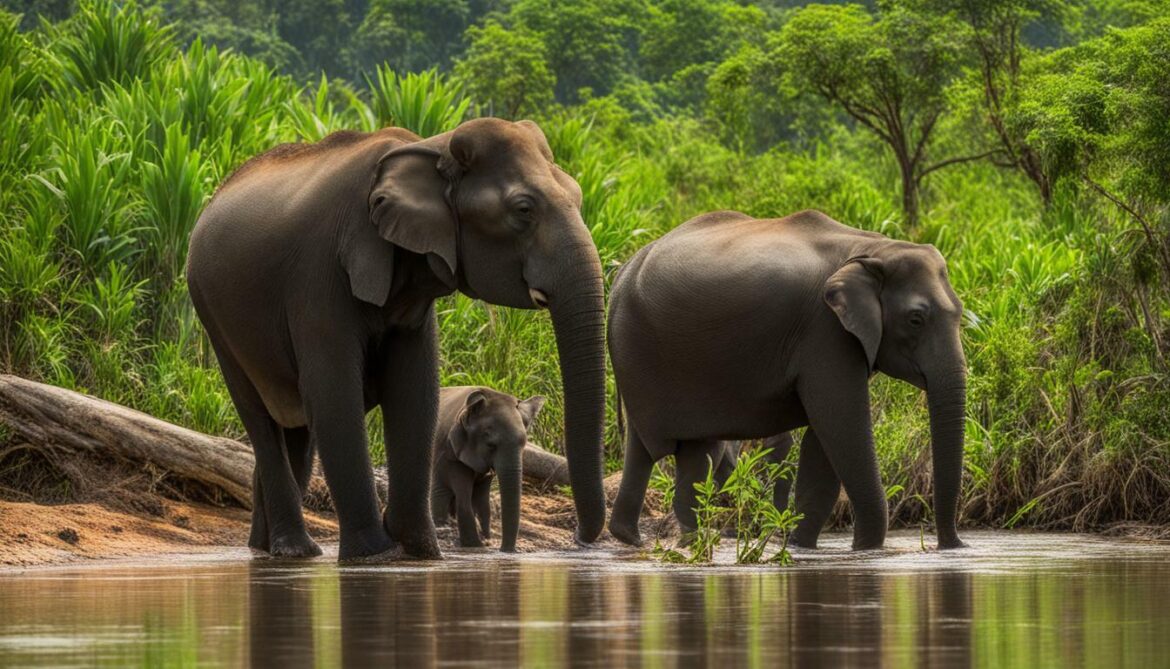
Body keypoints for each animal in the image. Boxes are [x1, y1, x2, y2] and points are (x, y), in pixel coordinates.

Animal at [430, 383, 542, 552]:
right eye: (491, 445)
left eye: (524, 445)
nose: (505, 550)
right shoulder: (448, 452)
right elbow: (463, 494)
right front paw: (475, 545)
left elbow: (482, 501)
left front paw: (485, 540)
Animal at [608, 209, 964, 549]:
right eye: (916, 319)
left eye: (960, 312)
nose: (953, 544)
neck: (874, 248)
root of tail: (622, 273)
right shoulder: (825, 332)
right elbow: (843, 428)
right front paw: (867, 549)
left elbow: (823, 443)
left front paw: (801, 545)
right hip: (639, 357)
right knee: (653, 446)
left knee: (689, 452)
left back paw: (654, 538)